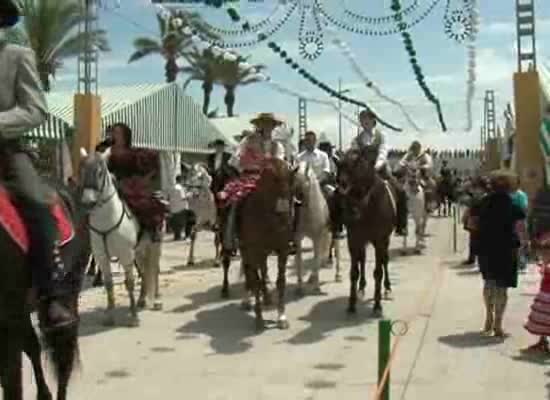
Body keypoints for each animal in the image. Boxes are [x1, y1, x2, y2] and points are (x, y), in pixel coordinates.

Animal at [79, 148, 164, 326]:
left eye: (100, 172)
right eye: (82, 171)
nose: (88, 202)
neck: (107, 220)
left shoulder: (125, 255)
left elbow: (129, 283)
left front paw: (133, 317)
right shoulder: (102, 257)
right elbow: (109, 284)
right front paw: (109, 315)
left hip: (154, 246)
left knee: (155, 270)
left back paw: (156, 300)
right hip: (139, 251)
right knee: (145, 273)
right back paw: (141, 300)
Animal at [237, 159, 298, 332]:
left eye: (292, 190)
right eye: (271, 187)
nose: (285, 221)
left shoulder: (283, 250)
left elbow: (281, 281)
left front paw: (281, 317)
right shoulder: (253, 250)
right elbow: (255, 281)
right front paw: (259, 319)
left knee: (263, 269)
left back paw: (267, 297)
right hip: (246, 251)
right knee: (249, 272)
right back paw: (248, 300)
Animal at [296, 161, 338, 296]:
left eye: (302, 181)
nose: (296, 201)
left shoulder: (317, 238)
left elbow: (315, 258)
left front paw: (317, 287)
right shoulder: (298, 238)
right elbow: (299, 261)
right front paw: (300, 287)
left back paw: (337, 275)